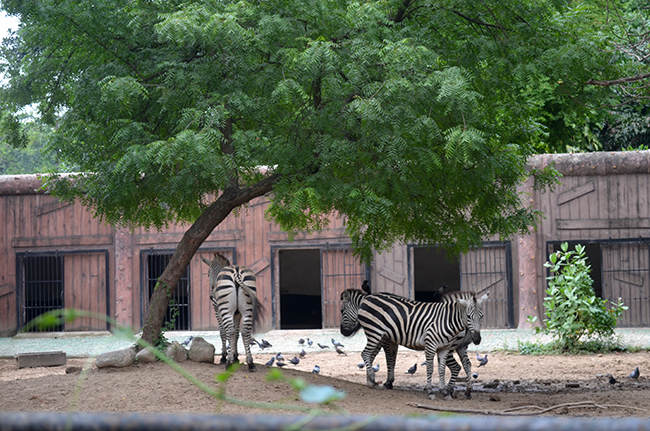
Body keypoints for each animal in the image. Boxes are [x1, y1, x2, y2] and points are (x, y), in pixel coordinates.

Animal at [340, 288, 487, 399]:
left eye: (482, 316)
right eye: (468, 316)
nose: (477, 339)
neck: (447, 320)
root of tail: (369, 298)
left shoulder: (388, 340)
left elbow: (439, 368)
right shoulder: (424, 344)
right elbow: (391, 359)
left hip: (375, 334)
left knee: (460, 366)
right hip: (375, 333)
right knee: (365, 353)